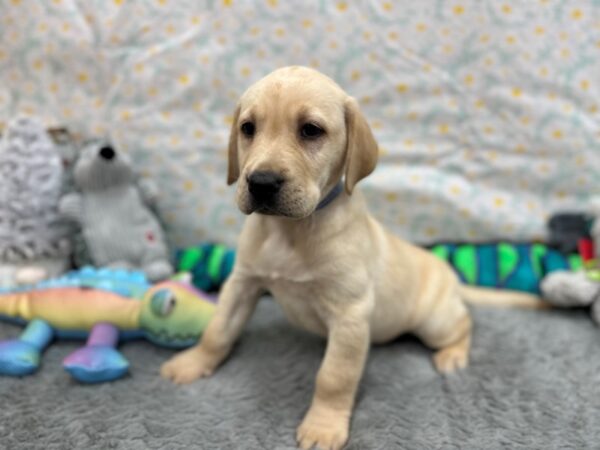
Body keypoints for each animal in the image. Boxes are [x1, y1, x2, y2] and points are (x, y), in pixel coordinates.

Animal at [162, 66, 548, 450]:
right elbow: (218, 329)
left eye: (311, 130)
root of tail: (451, 275)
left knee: (464, 324)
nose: (261, 182)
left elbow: (334, 376)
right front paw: (192, 362)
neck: (292, 231)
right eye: (247, 128)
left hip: (435, 321)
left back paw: (452, 354)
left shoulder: (350, 314)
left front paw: (323, 426)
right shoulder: (242, 283)